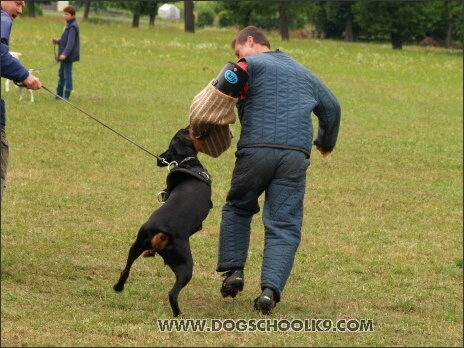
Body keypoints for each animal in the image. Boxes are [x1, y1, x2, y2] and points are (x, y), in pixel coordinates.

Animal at [114, 126, 212, 316]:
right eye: (185, 132)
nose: (186, 126)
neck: (188, 163)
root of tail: (163, 230)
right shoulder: (200, 223)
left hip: (137, 244)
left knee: (125, 270)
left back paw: (118, 287)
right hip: (185, 266)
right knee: (172, 293)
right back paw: (178, 314)